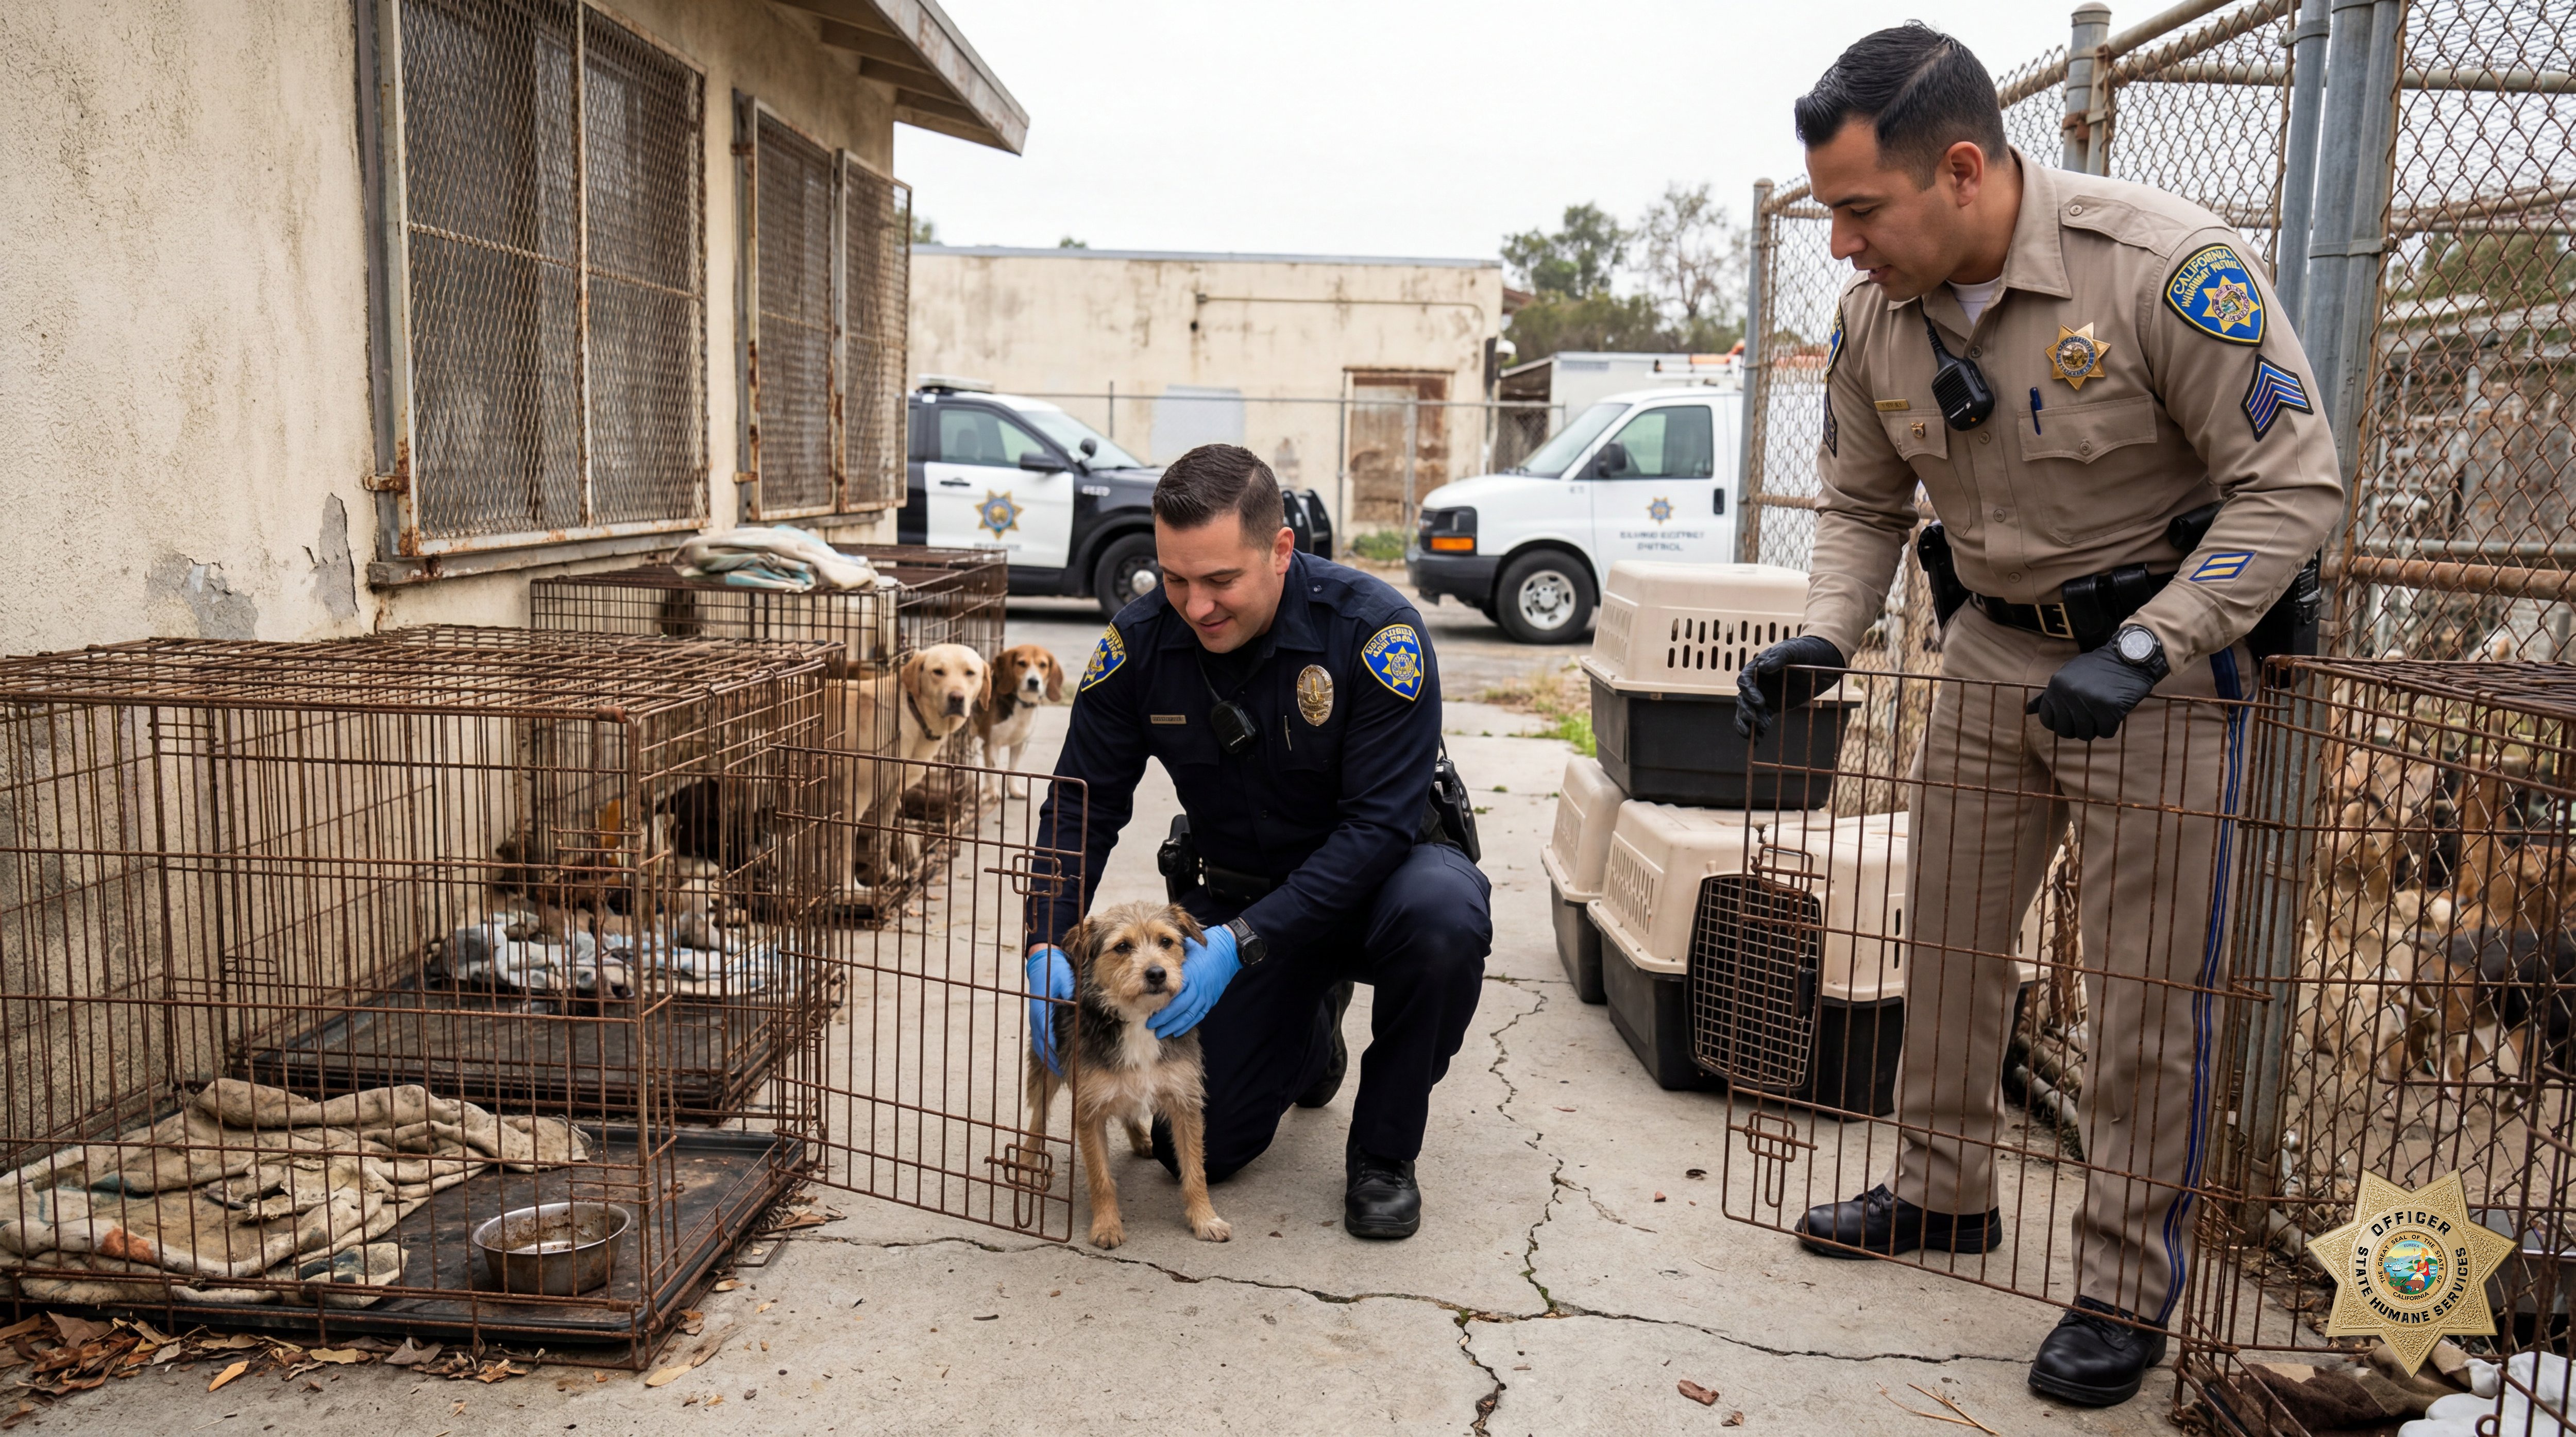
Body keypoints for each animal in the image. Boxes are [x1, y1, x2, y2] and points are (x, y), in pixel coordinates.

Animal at [823, 642, 989, 899]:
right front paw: (851, 889)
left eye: (970, 673)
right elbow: (847, 849)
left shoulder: (890, 794)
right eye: (938, 672)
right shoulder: (854, 799)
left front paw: (887, 874)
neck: (912, 713)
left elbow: (882, 838)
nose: (956, 698)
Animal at [973, 644, 1063, 799]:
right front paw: (995, 793)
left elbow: (1012, 769)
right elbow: (994, 769)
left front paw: (1013, 791)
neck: (1021, 704)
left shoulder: (1019, 745)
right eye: (1022, 663)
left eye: (1043, 665)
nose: (1033, 682)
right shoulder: (992, 744)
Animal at [1023, 901, 1230, 1250]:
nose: (1157, 973)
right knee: (1038, 1119)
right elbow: (1101, 1178)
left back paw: (1142, 1139)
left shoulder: (1185, 1101)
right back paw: (1026, 1162)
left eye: (1166, 942)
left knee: (1127, 1108)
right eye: (1122, 947)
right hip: (1046, 1063)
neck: (1138, 1019)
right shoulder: (1089, 1110)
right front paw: (1107, 1227)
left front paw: (1205, 1219)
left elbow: (1195, 1171)